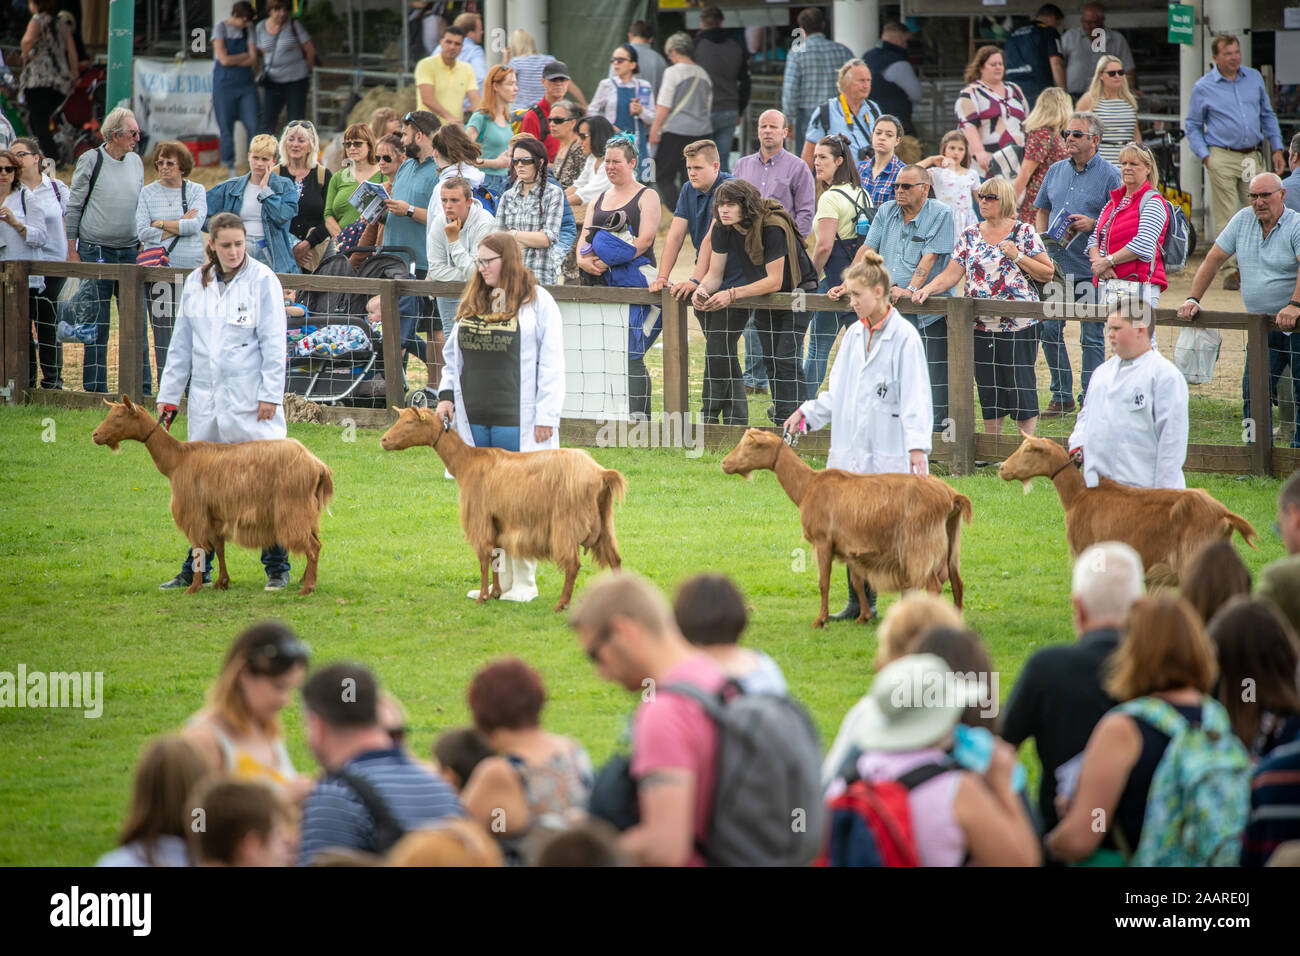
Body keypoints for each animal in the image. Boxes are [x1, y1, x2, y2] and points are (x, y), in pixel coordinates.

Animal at [91, 395, 335, 590]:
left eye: (119, 416)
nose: (95, 435)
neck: (177, 460)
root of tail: (318, 465)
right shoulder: (215, 514)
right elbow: (218, 548)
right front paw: (221, 582)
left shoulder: (194, 511)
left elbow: (199, 548)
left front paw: (194, 588)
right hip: (307, 512)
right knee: (318, 542)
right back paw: (305, 579)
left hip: (291, 510)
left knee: (312, 547)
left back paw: (307, 588)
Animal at [379, 408, 626, 608]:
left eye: (410, 422)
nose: (383, 440)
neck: (466, 461)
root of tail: (601, 474)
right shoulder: (497, 520)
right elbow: (496, 555)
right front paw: (495, 592)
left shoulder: (479, 517)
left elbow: (483, 558)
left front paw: (481, 598)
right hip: (605, 523)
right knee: (615, 559)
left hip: (566, 523)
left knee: (573, 564)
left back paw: (562, 604)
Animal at [722, 431, 977, 629]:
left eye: (750, 444)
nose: (724, 463)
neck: (807, 486)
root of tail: (951, 496)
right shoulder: (850, 548)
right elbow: (856, 582)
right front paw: (863, 616)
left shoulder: (823, 541)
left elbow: (823, 582)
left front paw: (820, 620)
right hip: (951, 544)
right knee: (957, 582)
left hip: (921, 547)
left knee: (934, 585)